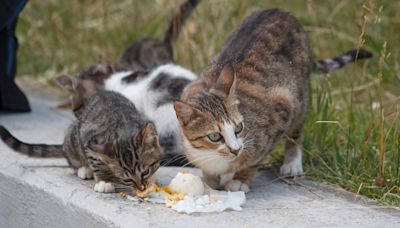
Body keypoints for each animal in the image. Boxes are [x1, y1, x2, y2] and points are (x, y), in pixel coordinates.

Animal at [1, 91, 161, 194]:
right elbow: (96, 161)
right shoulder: (89, 139)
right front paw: (103, 181)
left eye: (145, 171)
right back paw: (84, 169)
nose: (141, 188)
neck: (124, 125)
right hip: (73, 138)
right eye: (127, 180)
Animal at [173, 8, 374, 192]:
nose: (236, 150)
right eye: (214, 136)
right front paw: (209, 179)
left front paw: (240, 179)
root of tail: (281, 12)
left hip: (298, 95)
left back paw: (292, 162)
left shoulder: (279, 111)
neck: (212, 156)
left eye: (239, 128)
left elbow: (254, 159)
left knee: (297, 129)